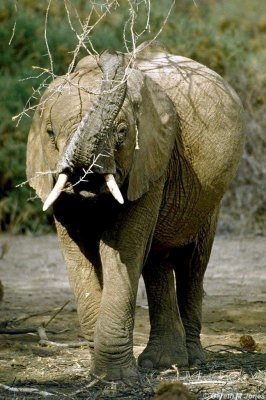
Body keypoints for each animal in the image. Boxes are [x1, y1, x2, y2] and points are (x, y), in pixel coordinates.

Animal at [26, 41, 245, 384]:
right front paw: (99, 375)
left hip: (208, 198)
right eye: (49, 132)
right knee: (156, 259)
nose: (111, 56)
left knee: (192, 263)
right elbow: (77, 251)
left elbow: (122, 245)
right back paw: (163, 362)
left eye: (122, 132)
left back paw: (190, 362)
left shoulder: (152, 163)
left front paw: (114, 378)